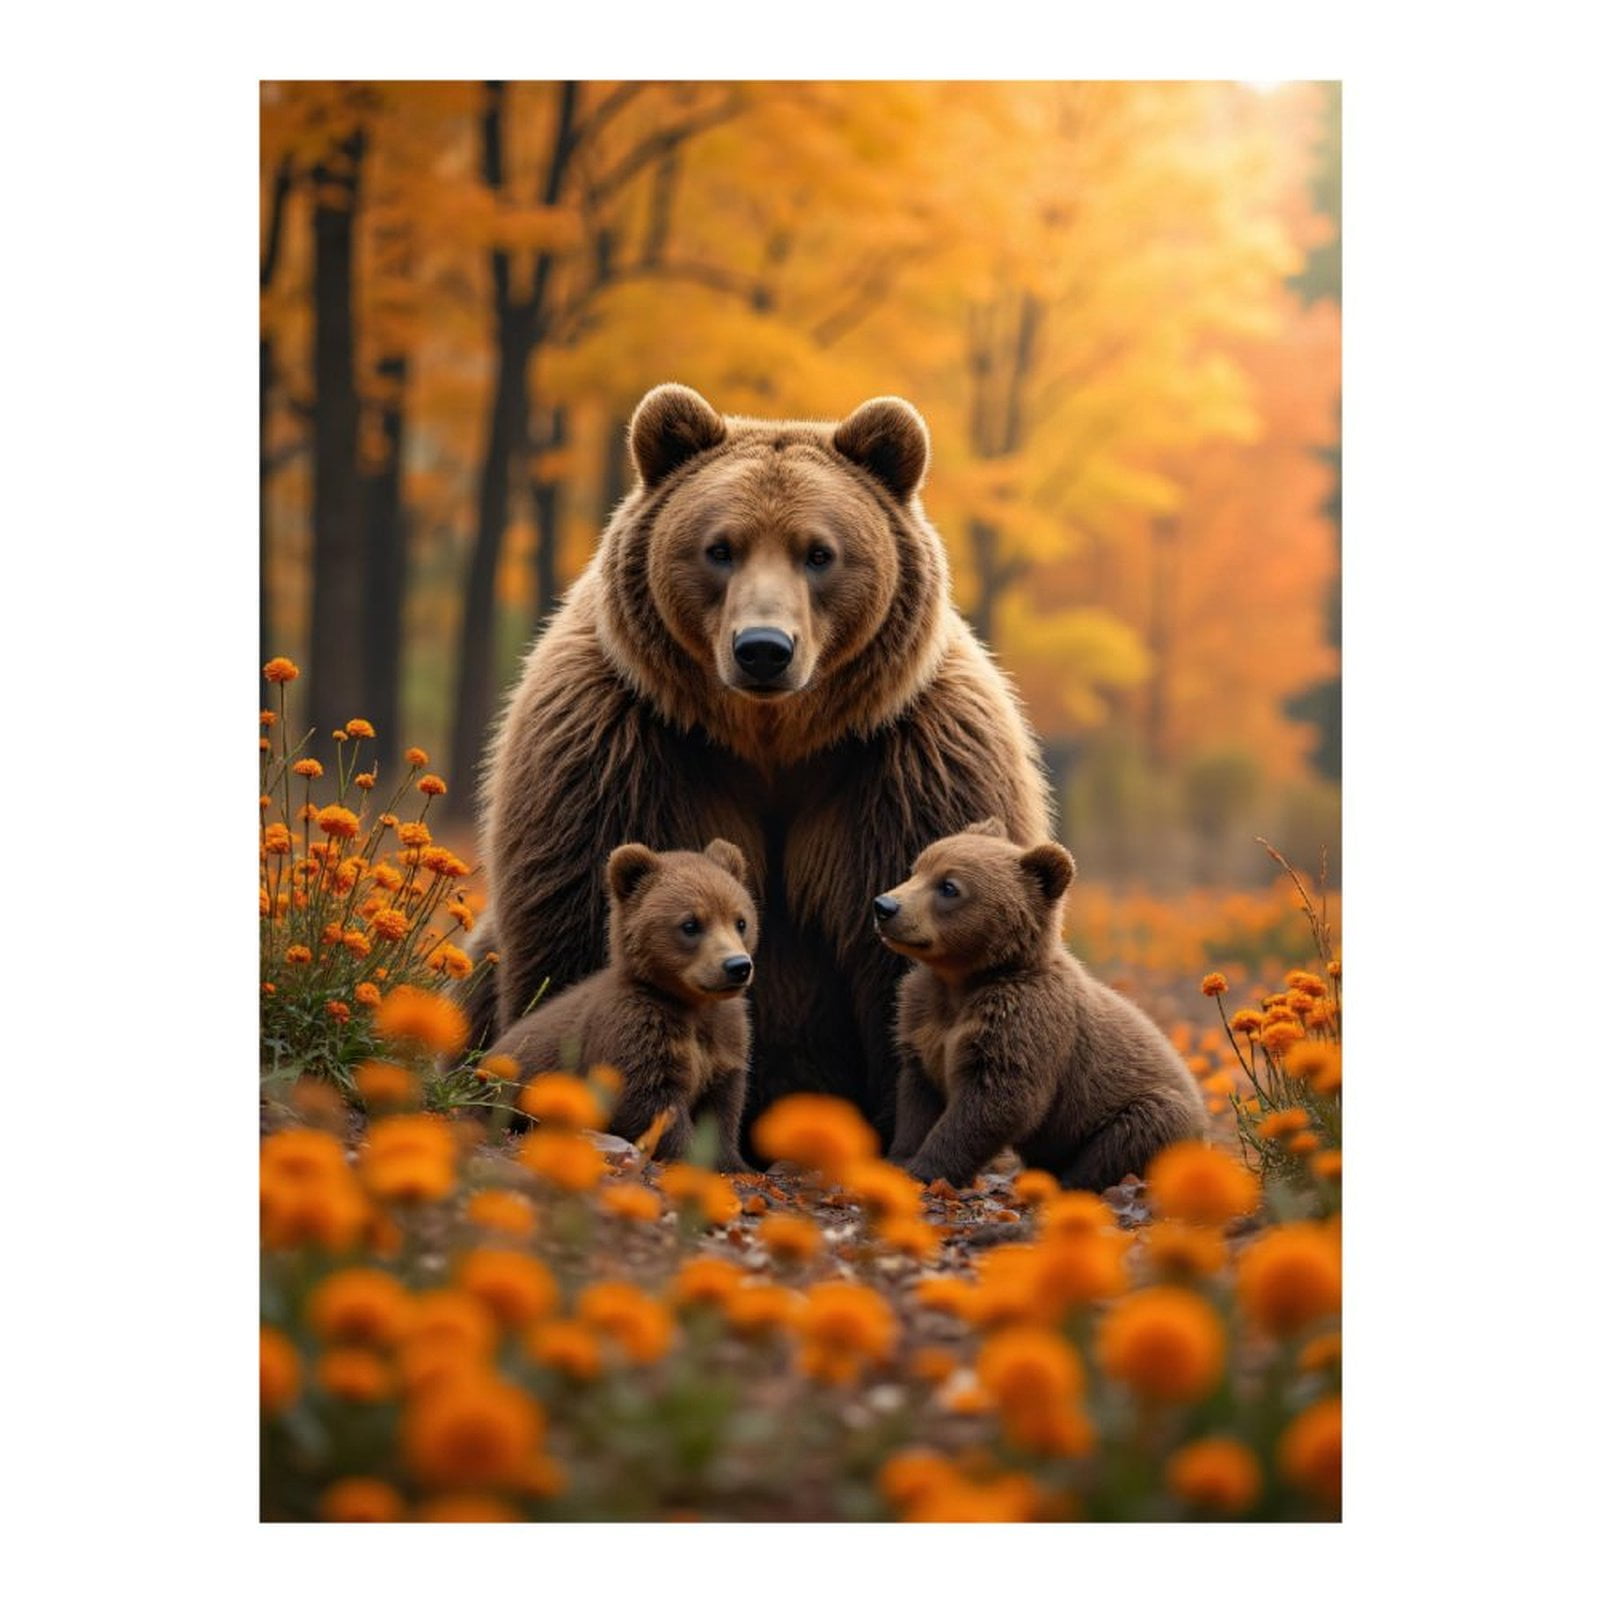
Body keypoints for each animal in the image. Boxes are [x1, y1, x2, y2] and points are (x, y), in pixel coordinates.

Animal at [489, 839, 758, 1171]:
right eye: (691, 924)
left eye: (740, 921)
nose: (737, 966)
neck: (690, 1003)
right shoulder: (636, 1028)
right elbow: (647, 1101)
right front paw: (688, 1155)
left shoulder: (724, 1039)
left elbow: (723, 1106)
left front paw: (734, 1164)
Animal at [873, 819, 1208, 1192]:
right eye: (916, 868)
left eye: (949, 886)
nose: (884, 906)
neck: (962, 982)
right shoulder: (922, 1019)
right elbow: (918, 1096)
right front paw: (900, 1159)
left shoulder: (1022, 1020)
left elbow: (997, 1101)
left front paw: (926, 1169)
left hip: (1153, 1111)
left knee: (1133, 1133)